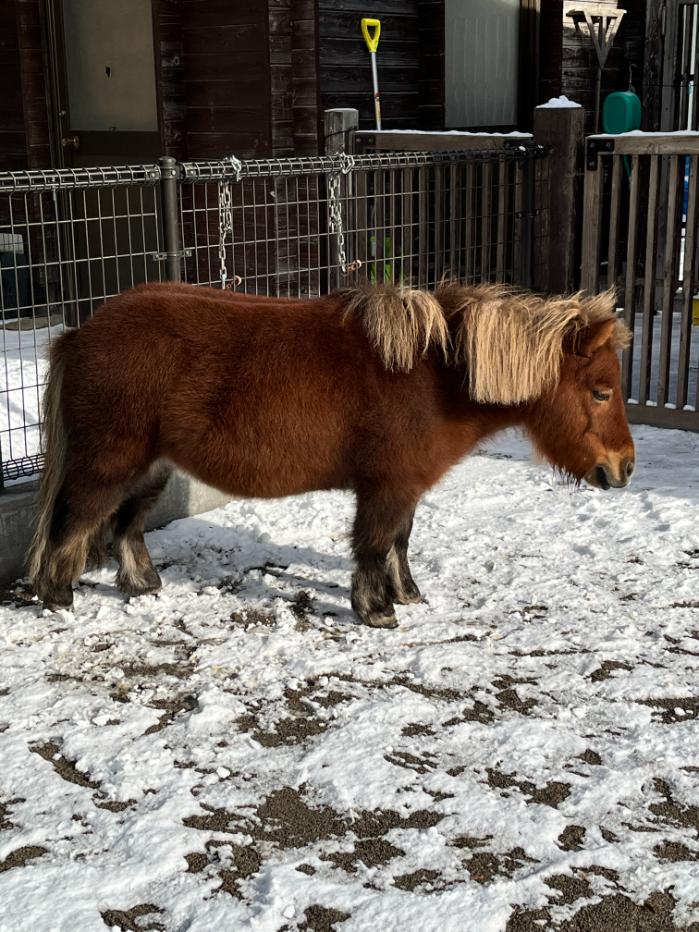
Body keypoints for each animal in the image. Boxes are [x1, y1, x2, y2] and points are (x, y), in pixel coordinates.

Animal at [30, 282, 636, 628]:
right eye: (601, 392)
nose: (625, 467)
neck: (434, 374)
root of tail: (80, 332)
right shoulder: (387, 487)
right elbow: (373, 544)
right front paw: (376, 610)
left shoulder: (404, 485)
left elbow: (398, 542)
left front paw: (407, 595)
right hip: (108, 462)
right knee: (74, 519)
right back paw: (58, 598)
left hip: (150, 469)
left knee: (124, 526)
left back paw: (144, 587)